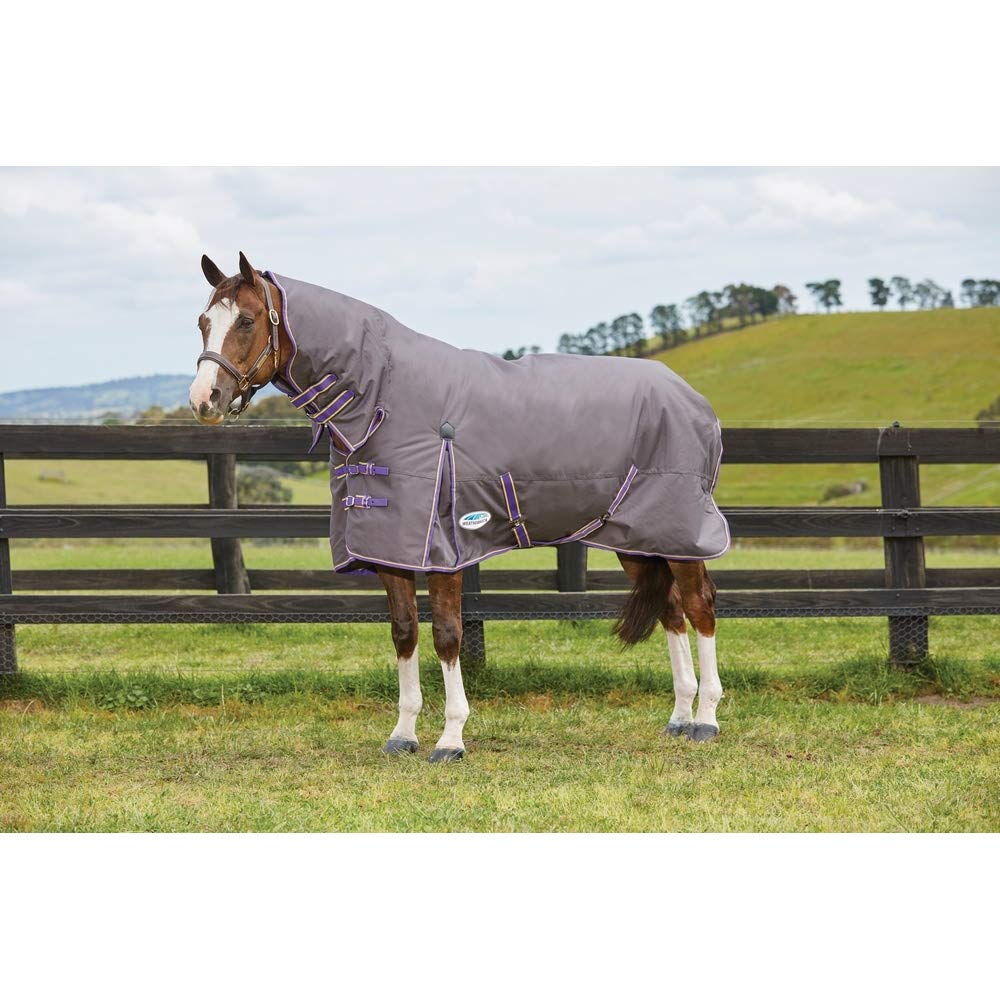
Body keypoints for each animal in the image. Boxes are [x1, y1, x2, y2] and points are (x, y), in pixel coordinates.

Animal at [189, 252, 727, 761]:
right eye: (202, 321)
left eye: (246, 320)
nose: (204, 400)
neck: (383, 395)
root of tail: (693, 399)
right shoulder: (391, 552)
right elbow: (404, 633)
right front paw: (403, 735)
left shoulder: (443, 552)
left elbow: (447, 636)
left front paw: (450, 739)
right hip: (638, 538)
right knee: (671, 611)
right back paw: (679, 716)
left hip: (682, 535)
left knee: (699, 606)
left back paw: (705, 720)